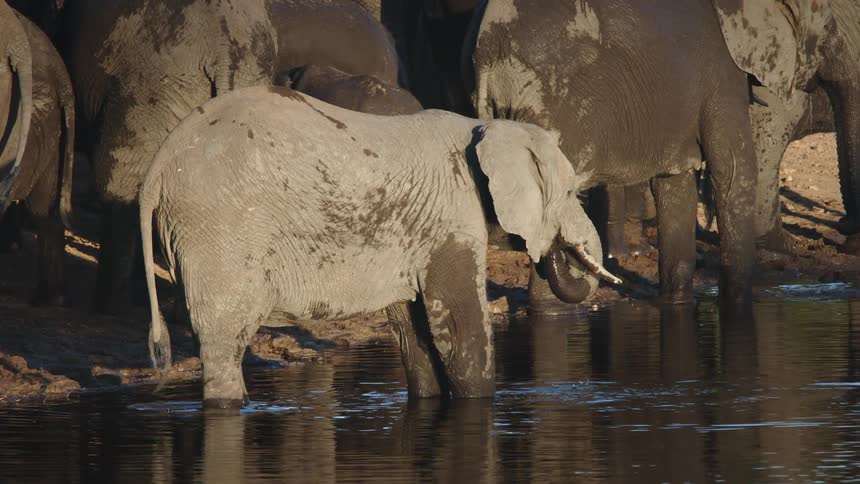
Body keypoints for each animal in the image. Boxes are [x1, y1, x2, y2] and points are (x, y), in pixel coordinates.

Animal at [138, 86, 620, 408]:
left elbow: (414, 327)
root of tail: (158, 166)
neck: (483, 127)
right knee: (224, 338)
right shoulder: (451, 216)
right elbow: (459, 323)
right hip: (219, 227)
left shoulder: (415, 232)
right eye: (572, 191)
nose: (555, 249)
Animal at [467, 0, 762, 312]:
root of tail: (490, 48)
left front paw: (676, 303)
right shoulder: (720, 64)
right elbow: (732, 171)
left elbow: (676, 184)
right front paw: (738, 308)